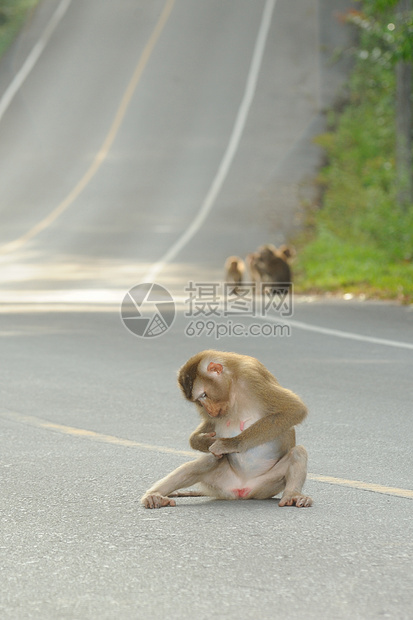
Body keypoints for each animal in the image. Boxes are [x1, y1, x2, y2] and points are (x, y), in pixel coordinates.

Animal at [142, 348, 312, 508]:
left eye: (204, 395)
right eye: (198, 401)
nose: (208, 410)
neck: (233, 386)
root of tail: (242, 489)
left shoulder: (252, 376)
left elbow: (294, 409)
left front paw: (228, 444)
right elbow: (210, 425)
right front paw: (201, 441)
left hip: (267, 486)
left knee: (298, 452)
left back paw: (293, 495)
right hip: (219, 483)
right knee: (208, 462)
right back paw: (154, 495)